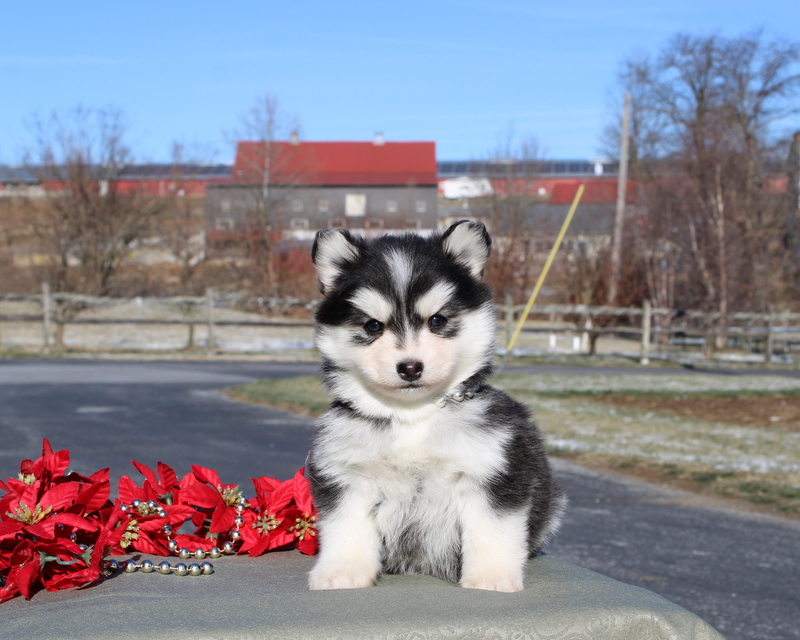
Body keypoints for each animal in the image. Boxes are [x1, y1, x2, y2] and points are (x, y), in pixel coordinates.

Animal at [304, 222, 564, 592]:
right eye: (372, 325)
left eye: (438, 320)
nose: (410, 367)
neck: (413, 417)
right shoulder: (347, 474)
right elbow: (346, 529)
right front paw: (343, 572)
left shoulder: (492, 472)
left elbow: (492, 531)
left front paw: (490, 577)